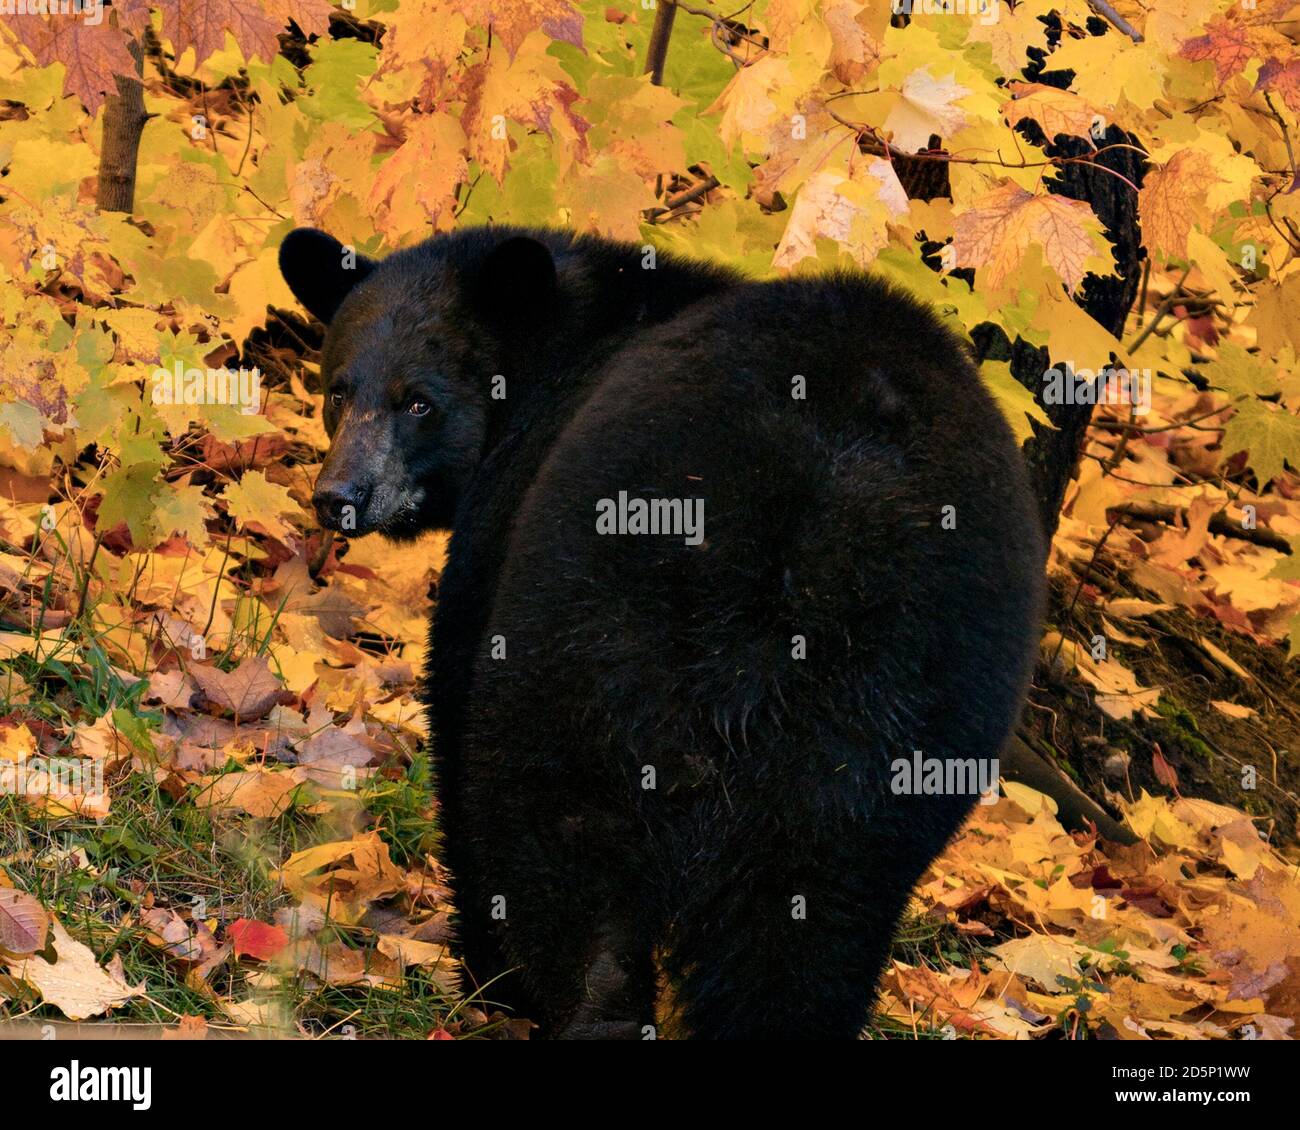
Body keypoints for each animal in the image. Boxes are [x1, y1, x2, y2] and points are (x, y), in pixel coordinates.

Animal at [278, 225, 1046, 1039]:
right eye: (339, 389)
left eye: (419, 402)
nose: (339, 496)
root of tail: (828, 509)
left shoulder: (506, 521)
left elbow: (456, 707)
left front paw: (489, 977)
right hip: (910, 704)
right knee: (813, 918)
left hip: (603, 623)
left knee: (560, 838)